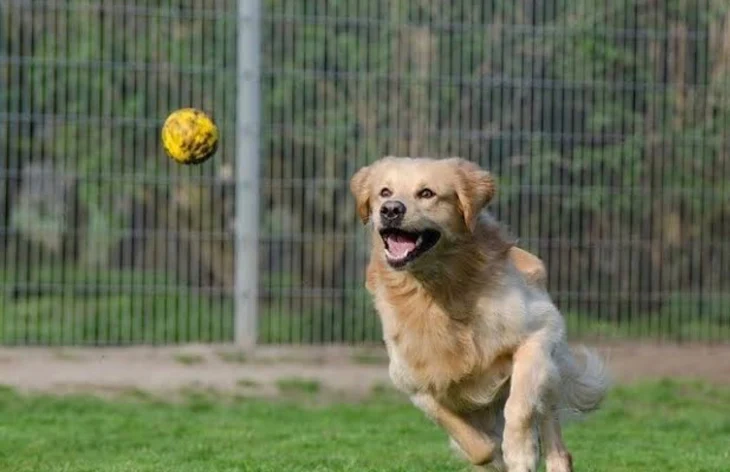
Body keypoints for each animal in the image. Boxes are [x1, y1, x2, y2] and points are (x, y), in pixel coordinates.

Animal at [350, 157, 604, 470]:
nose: (391, 209)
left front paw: (519, 451)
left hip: (550, 374)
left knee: (554, 441)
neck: (438, 292)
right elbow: (475, 444)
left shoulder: (539, 333)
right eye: (384, 192)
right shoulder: (414, 384)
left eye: (427, 193)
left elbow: (520, 406)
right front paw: (494, 454)